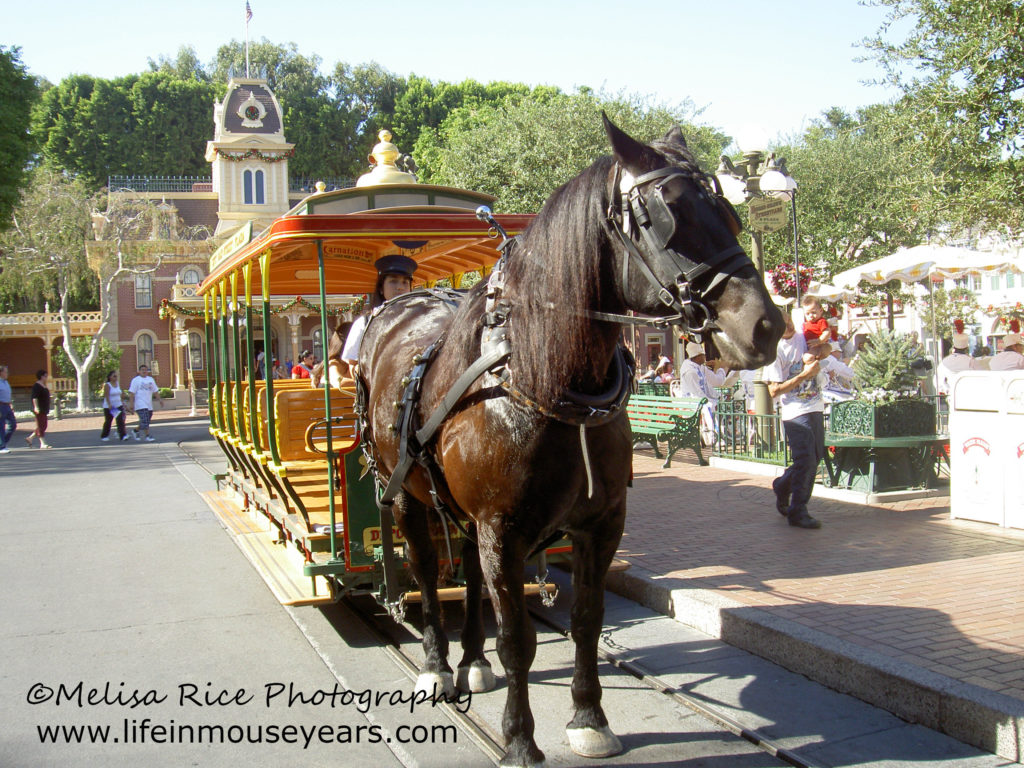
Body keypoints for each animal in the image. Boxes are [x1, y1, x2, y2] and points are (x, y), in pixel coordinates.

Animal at [356, 115, 778, 768]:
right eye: (668, 216)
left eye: (729, 213)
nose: (766, 326)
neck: (543, 382)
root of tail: (401, 302)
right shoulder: (502, 529)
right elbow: (518, 639)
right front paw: (519, 739)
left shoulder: (599, 522)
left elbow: (585, 619)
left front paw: (588, 718)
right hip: (403, 493)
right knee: (426, 572)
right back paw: (437, 668)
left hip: (465, 513)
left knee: (468, 575)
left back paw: (471, 662)